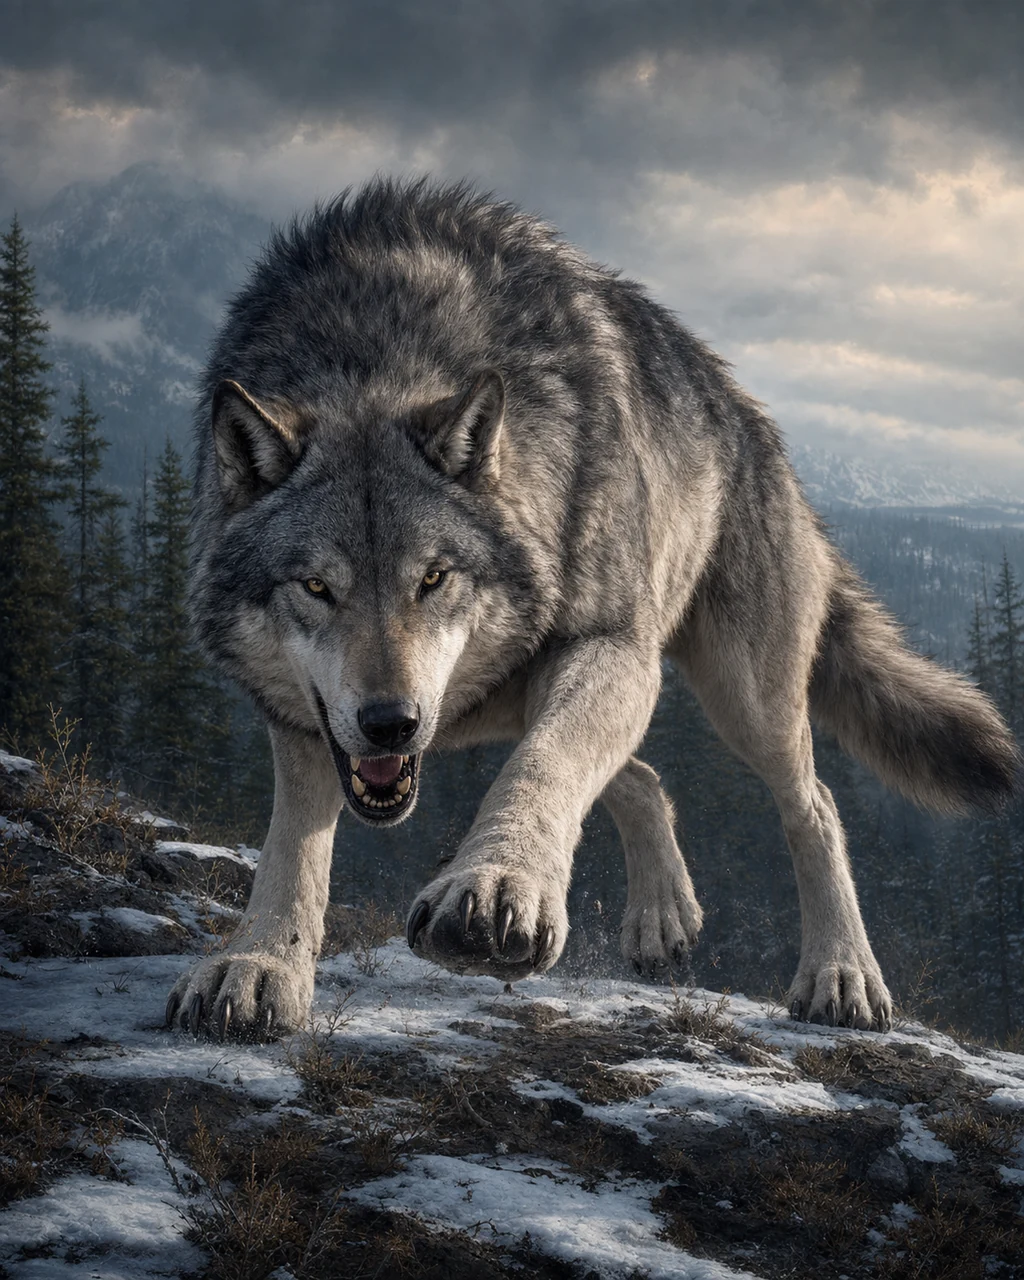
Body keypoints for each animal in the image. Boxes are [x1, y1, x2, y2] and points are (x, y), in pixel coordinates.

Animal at [165, 179, 1019, 1041]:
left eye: (433, 577)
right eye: (316, 588)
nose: (390, 724)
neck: (377, 344)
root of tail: (759, 427)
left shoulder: (611, 645)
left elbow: (547, 762)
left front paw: (495, 888)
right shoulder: (303, 716)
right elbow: (290, 846)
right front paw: (260, 964)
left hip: (744, 699)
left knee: (814, 805)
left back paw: (840, 974)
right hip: (518, 700)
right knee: (639, 773)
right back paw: (663, 911)